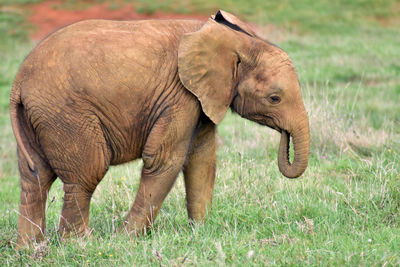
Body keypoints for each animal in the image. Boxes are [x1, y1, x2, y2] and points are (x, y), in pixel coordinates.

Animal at [9, 8, 310, 247]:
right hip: (66, 114)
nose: (284, 138)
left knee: (34, 177)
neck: (236, 40)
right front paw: (125, 241)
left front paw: (200, 232)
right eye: (274, 98)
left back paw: (30, 248)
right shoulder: (180, 95)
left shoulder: (198, 98)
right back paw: (82, 244)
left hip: (39, 116)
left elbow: (202, 157)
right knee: (86, 174)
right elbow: (165, 159)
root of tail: (19, 83)